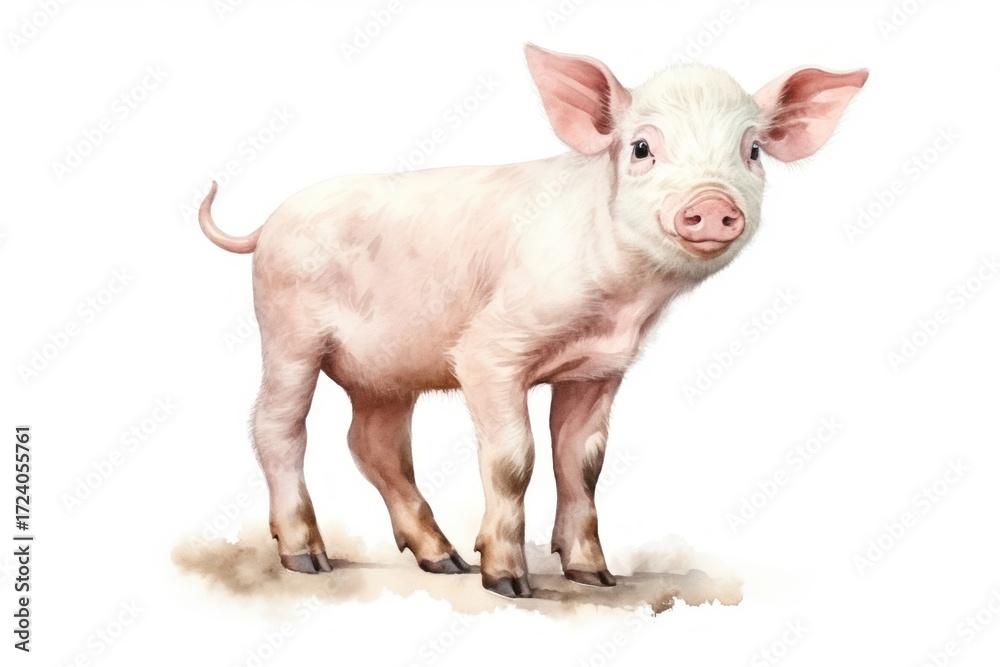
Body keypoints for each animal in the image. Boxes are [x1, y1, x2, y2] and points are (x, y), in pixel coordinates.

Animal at [199, 44, 867, 598]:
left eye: (751, 151)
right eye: (642, 148)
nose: (711, 204)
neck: (626, 304)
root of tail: (269, 222)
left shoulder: (599, 369)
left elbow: (583, 463)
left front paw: (597, 577)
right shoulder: (488, 353)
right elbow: (514, 459)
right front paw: (508, 583)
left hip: (385, 371)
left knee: (373, 445)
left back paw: (443, 562)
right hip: (287, 331)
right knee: (277, 427)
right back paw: (309, 560)